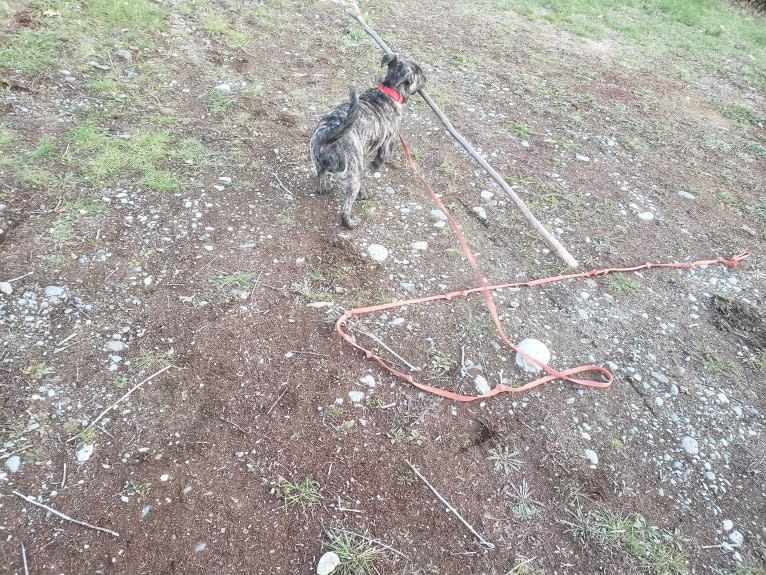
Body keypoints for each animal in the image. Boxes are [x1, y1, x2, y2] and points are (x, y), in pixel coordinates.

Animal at [310, 54, 426, 228]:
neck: (388, 89)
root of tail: (328, 136)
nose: (426, 77)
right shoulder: (387, 143)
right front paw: (375, 167)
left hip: (320, 165)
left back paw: (325, 188)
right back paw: (351, 222)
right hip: (355, 175)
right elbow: (380, 159)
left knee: (320, 182)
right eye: (418, 72)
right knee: (345, 209)